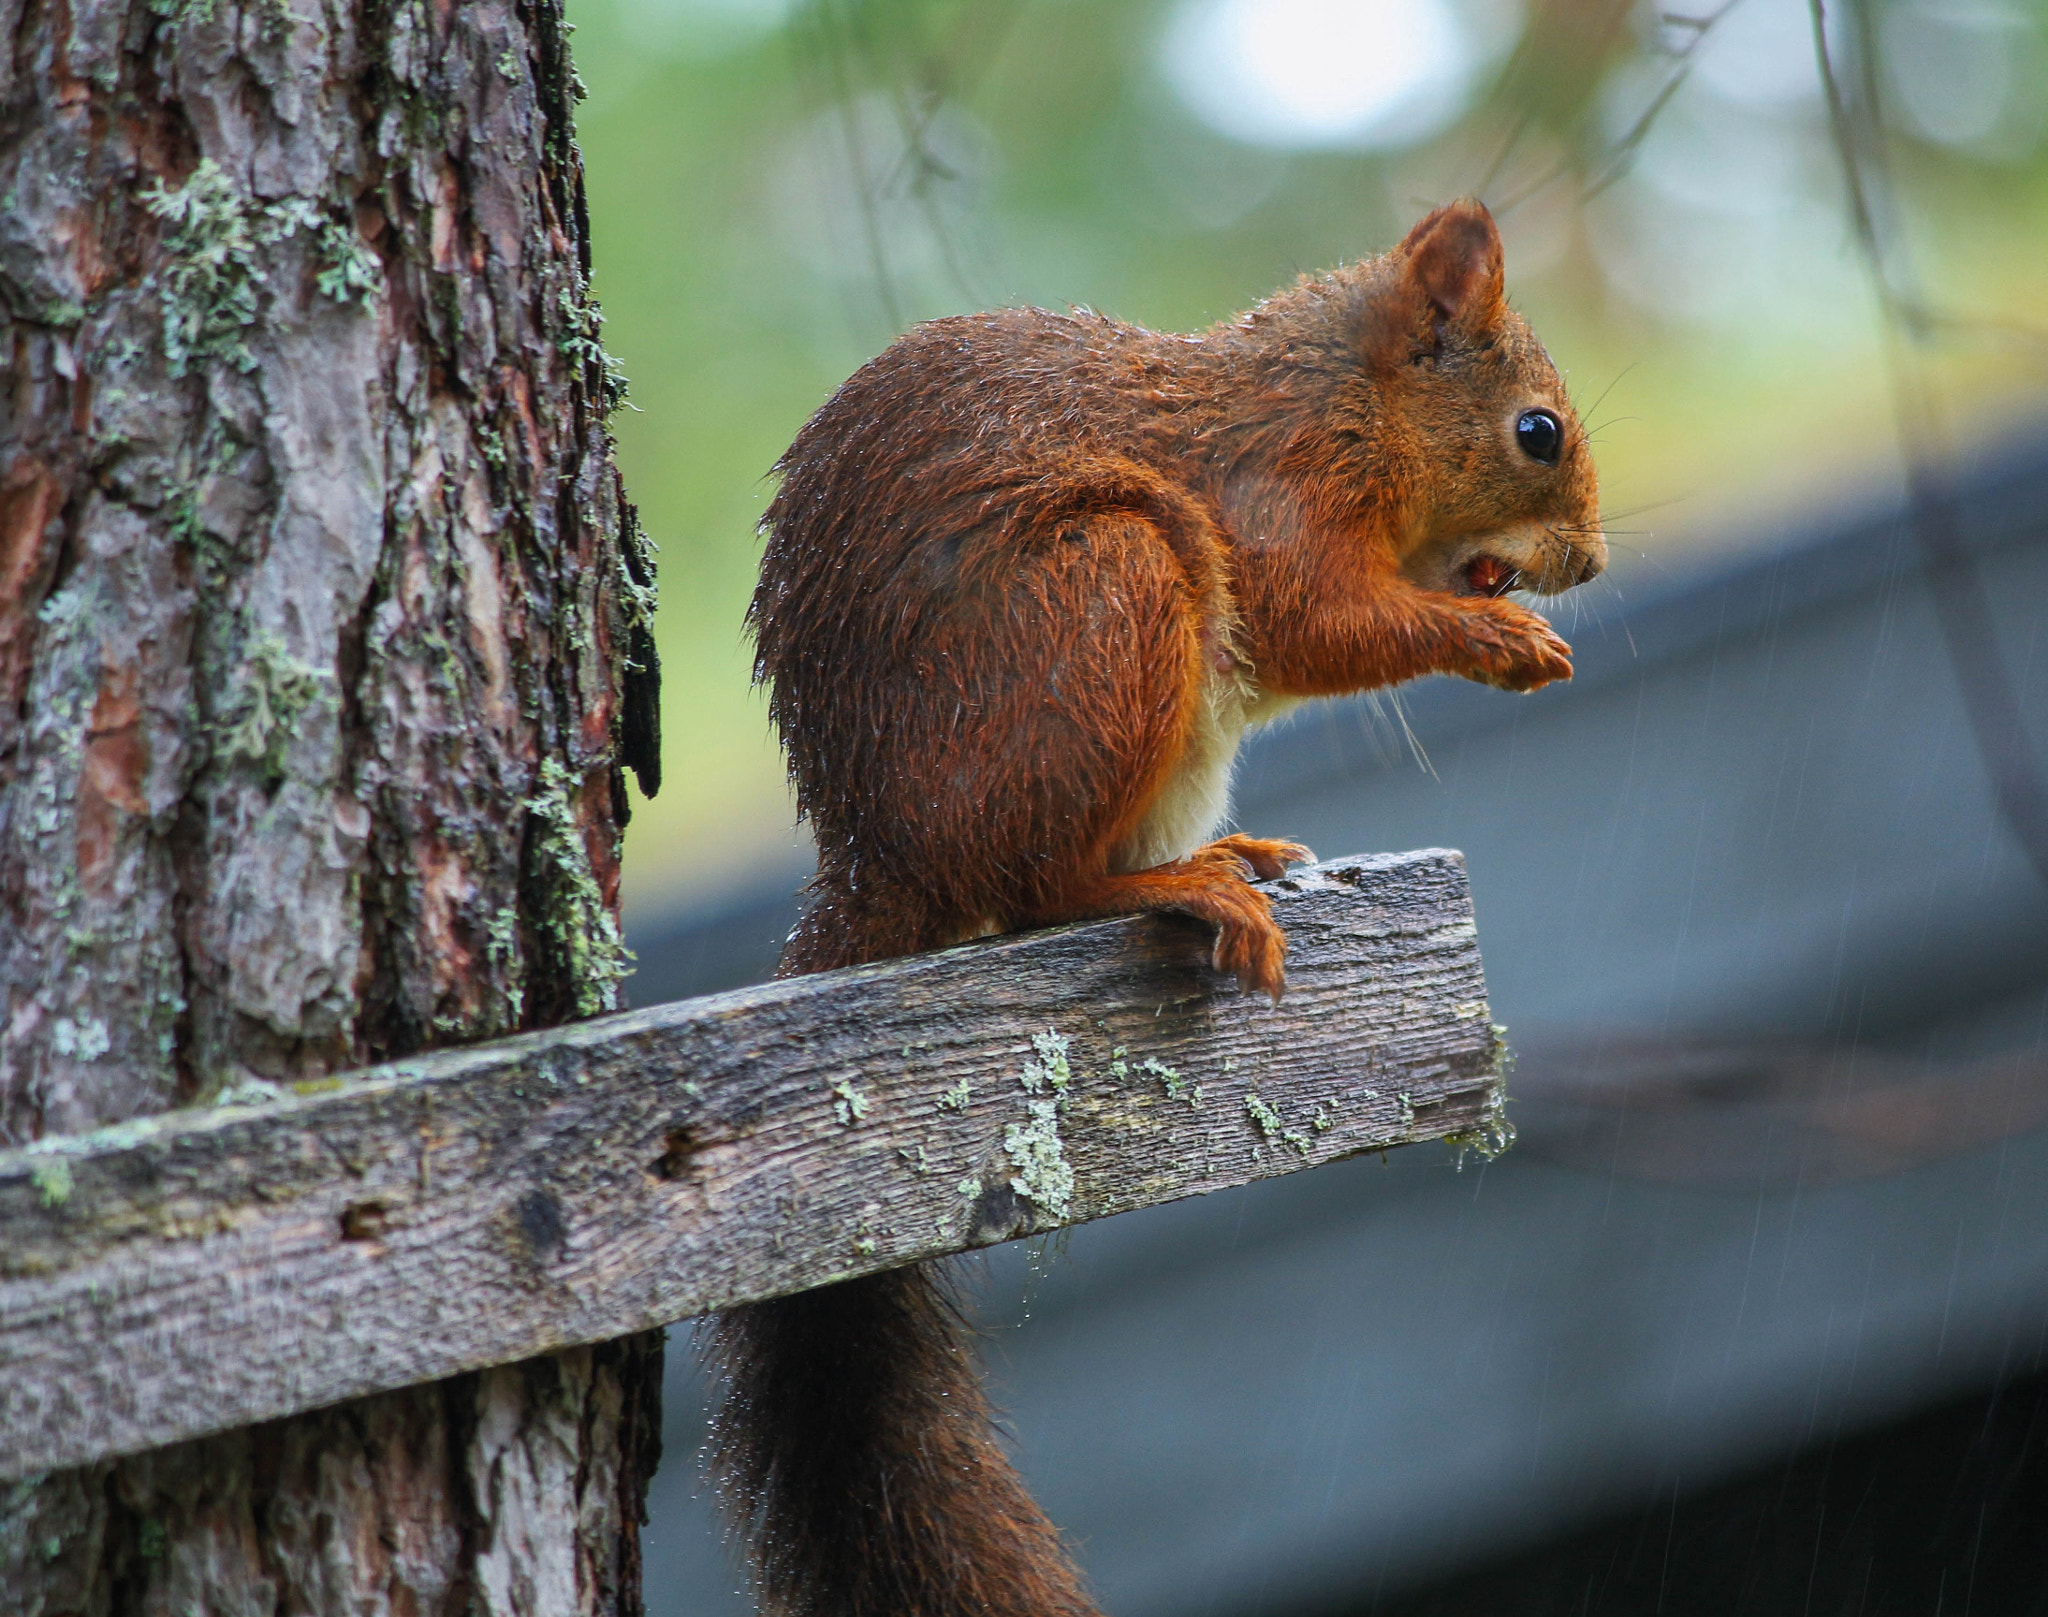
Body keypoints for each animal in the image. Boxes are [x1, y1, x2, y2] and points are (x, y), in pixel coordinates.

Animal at [708, 199, 1603, 1617]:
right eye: (1536, 433)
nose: (1588, 562)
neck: (1342, 403)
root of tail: (879, 860)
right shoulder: (1277, 497)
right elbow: (1316, 622)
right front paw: (1496, 640)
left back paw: (1232, 850)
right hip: (1103, 594)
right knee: (1034, 890)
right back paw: (1176, 885)